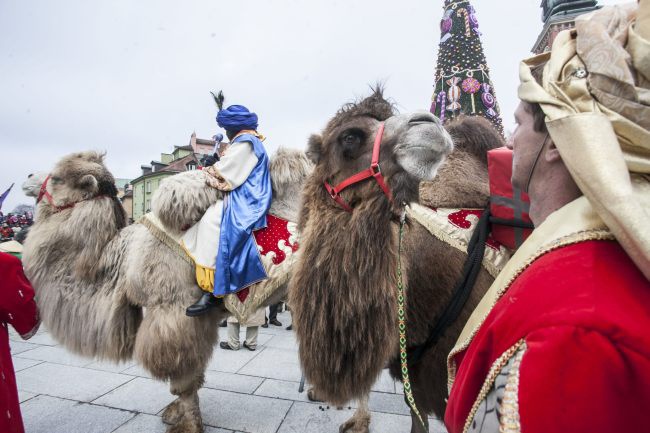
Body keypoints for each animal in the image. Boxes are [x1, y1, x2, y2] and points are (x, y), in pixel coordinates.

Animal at [22, 148, 312, 432]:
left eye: (58, 178)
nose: (29, 177)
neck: (123, 257)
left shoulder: (173, 310)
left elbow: (182, 373)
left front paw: (187, 423)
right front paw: (176, 412)